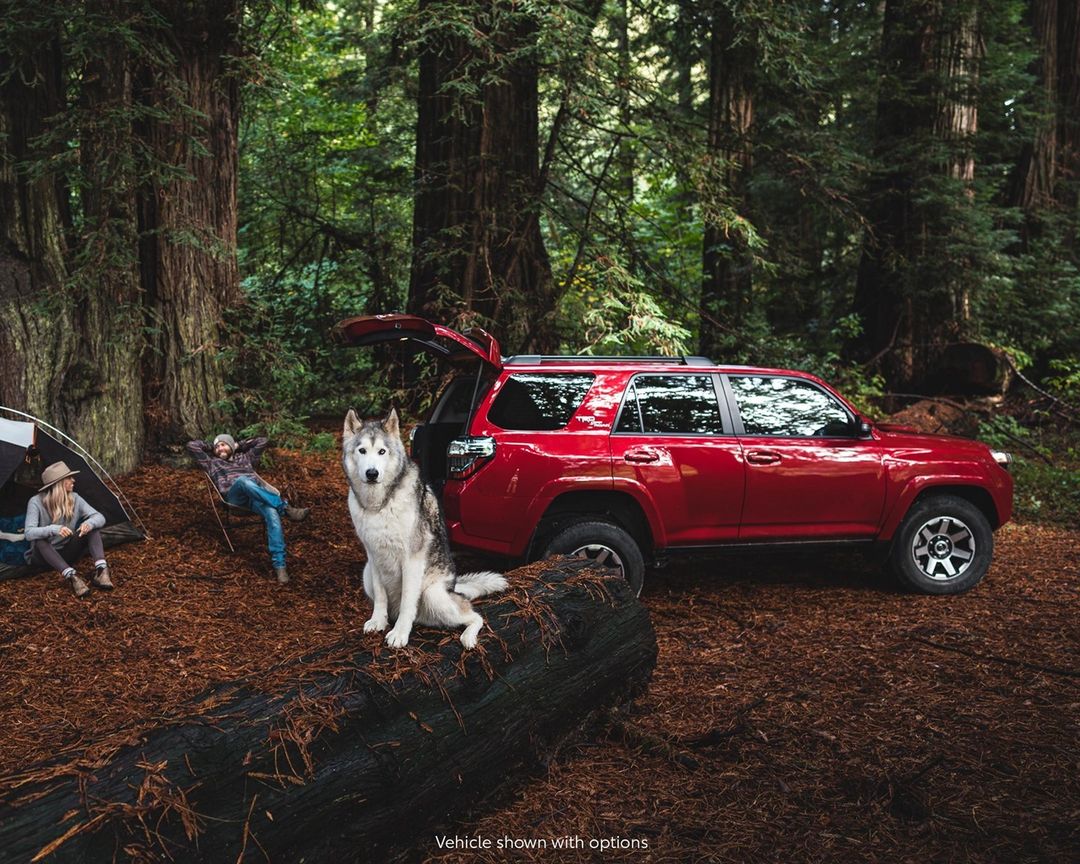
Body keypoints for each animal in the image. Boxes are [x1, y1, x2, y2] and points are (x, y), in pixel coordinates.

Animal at [342, 409, 507, 649]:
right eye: (362, 450)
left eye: (382, 451)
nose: (372, 473)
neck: (379, 505)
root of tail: (454, 587)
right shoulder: (373, 556)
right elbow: (381, 597)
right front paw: (378, 621)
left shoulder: (411, 558)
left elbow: (407, 601)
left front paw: (400, 633)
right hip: (366, 575)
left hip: (433, 595)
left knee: (475, 616)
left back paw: (468, 637)